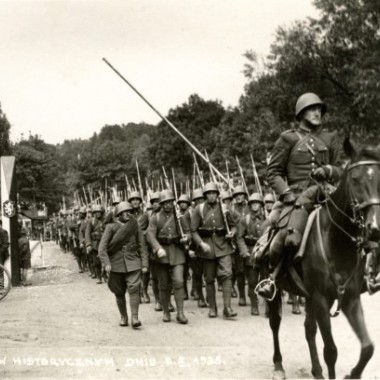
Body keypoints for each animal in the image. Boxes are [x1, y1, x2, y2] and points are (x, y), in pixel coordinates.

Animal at [260, 138, 380, 378]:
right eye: (355, 179)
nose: (374, 228)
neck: (337, 242)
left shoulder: (350, 298)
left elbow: (368, 347)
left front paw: (353, 373)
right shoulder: (321, 299)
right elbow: (331, 351)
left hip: (309, 298)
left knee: (309, 329)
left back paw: (316, 370)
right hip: (277, 290)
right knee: (275, 324)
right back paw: (278, 365)